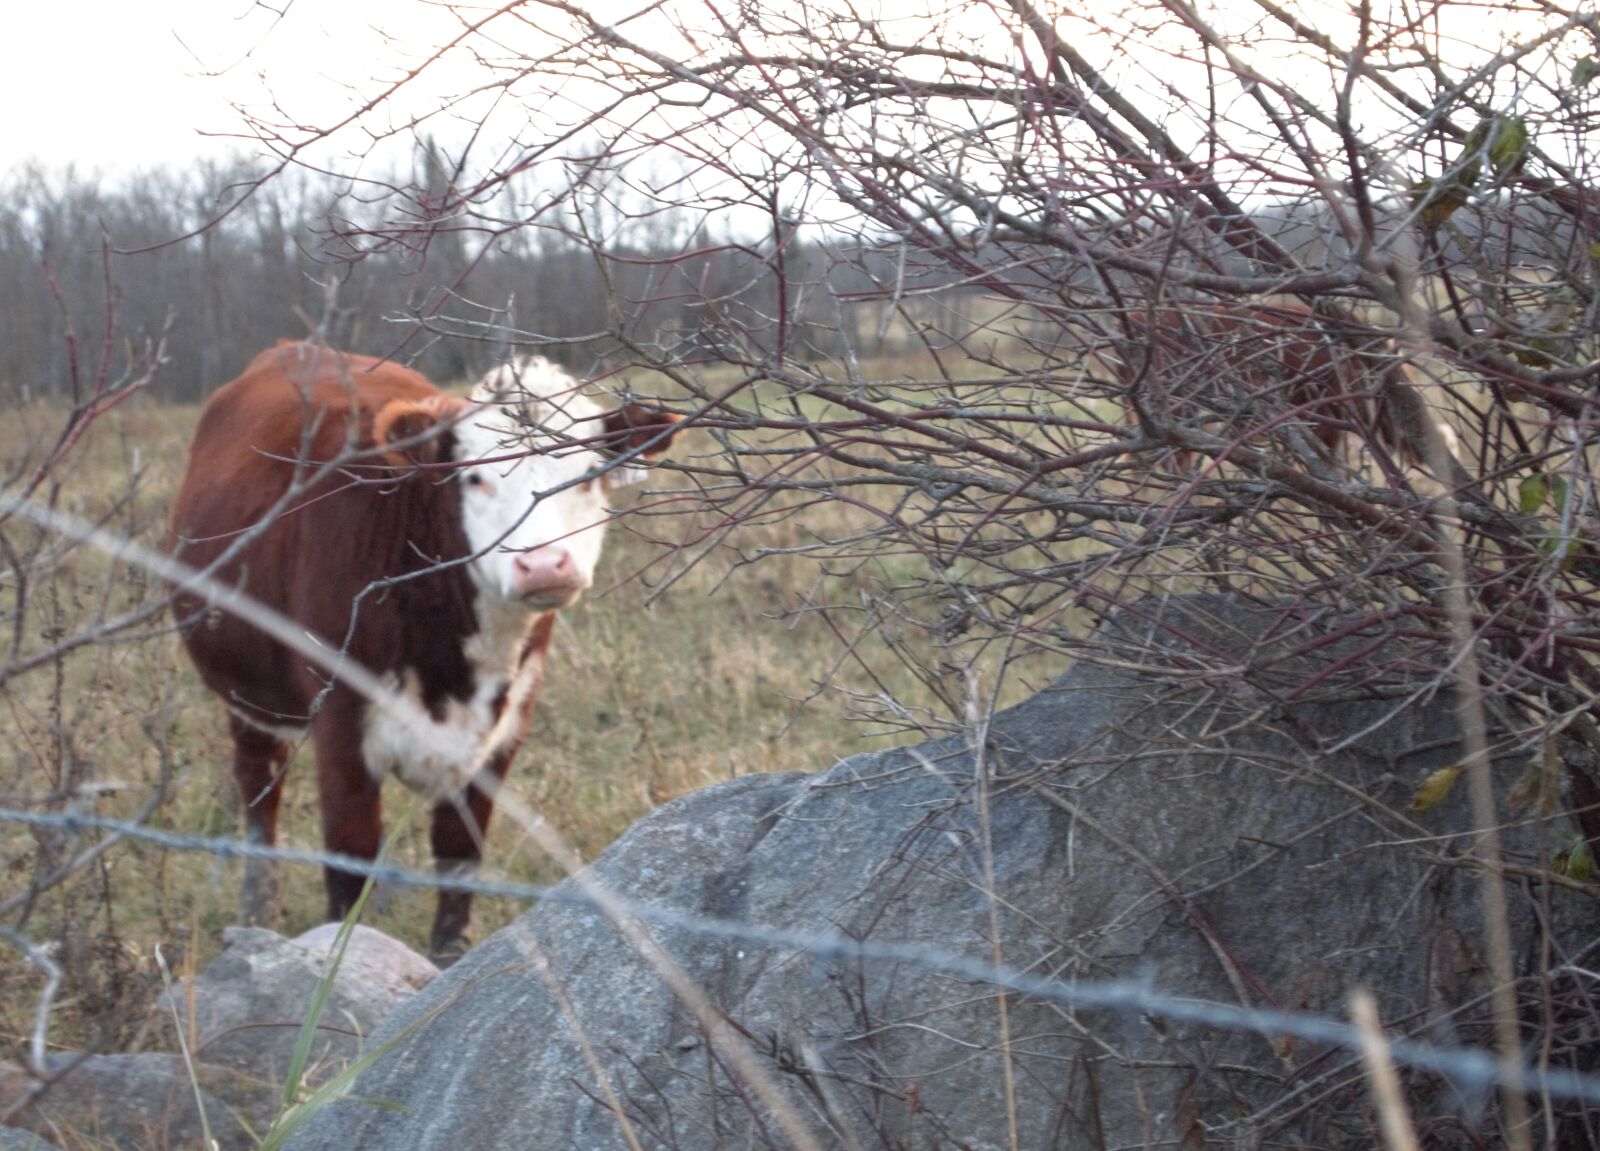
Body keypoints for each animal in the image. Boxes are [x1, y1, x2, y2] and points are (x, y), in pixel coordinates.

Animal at [168, 342, 681, 960]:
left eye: (587, 475)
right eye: (475, 478)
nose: (543, 566)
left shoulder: (503, 727)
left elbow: (459, 856)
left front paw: (448, 954)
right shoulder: (340, 724)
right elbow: (350, 857)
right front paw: (343, 952)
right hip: (247, 695)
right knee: (258, 792)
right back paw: (258, 908)